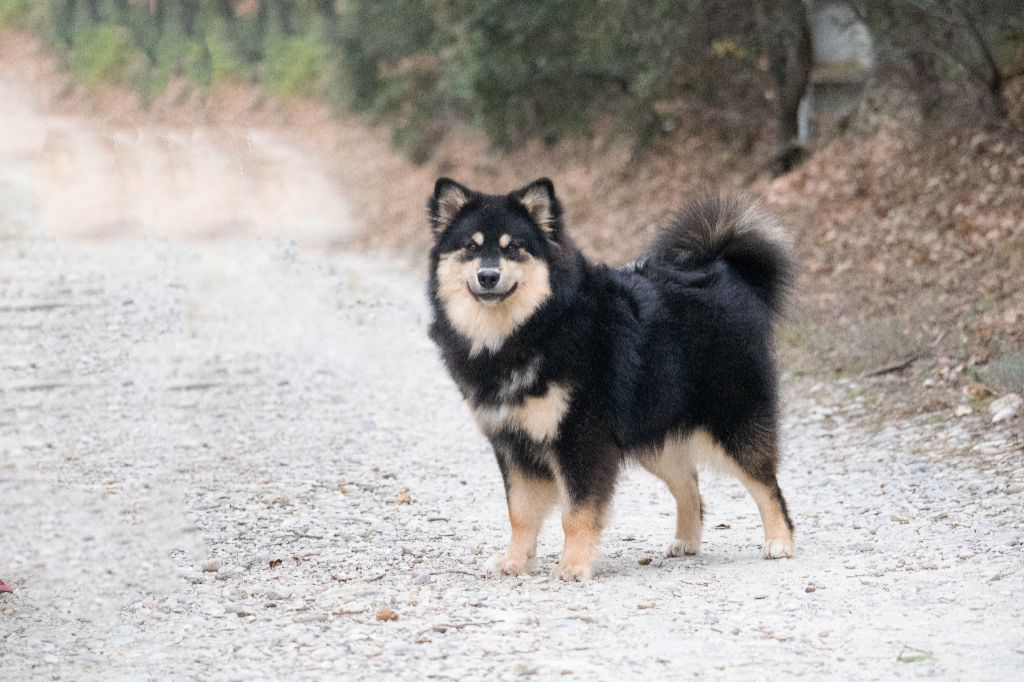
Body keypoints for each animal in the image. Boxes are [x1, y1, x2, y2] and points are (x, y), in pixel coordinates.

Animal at [428, 176, 794, 577]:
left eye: (514, 249)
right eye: (471, 247)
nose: (488, 276)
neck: (533, 326)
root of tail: (728, 274)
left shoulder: (581, 438)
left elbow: (575, 512)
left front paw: (573, 566)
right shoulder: (513, 443)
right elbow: (520, 513)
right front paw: (515, 561)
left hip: (731, 421)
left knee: (766, 484)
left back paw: (780, 542)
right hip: (654, 430)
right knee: (689, 483)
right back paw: (686, 540)